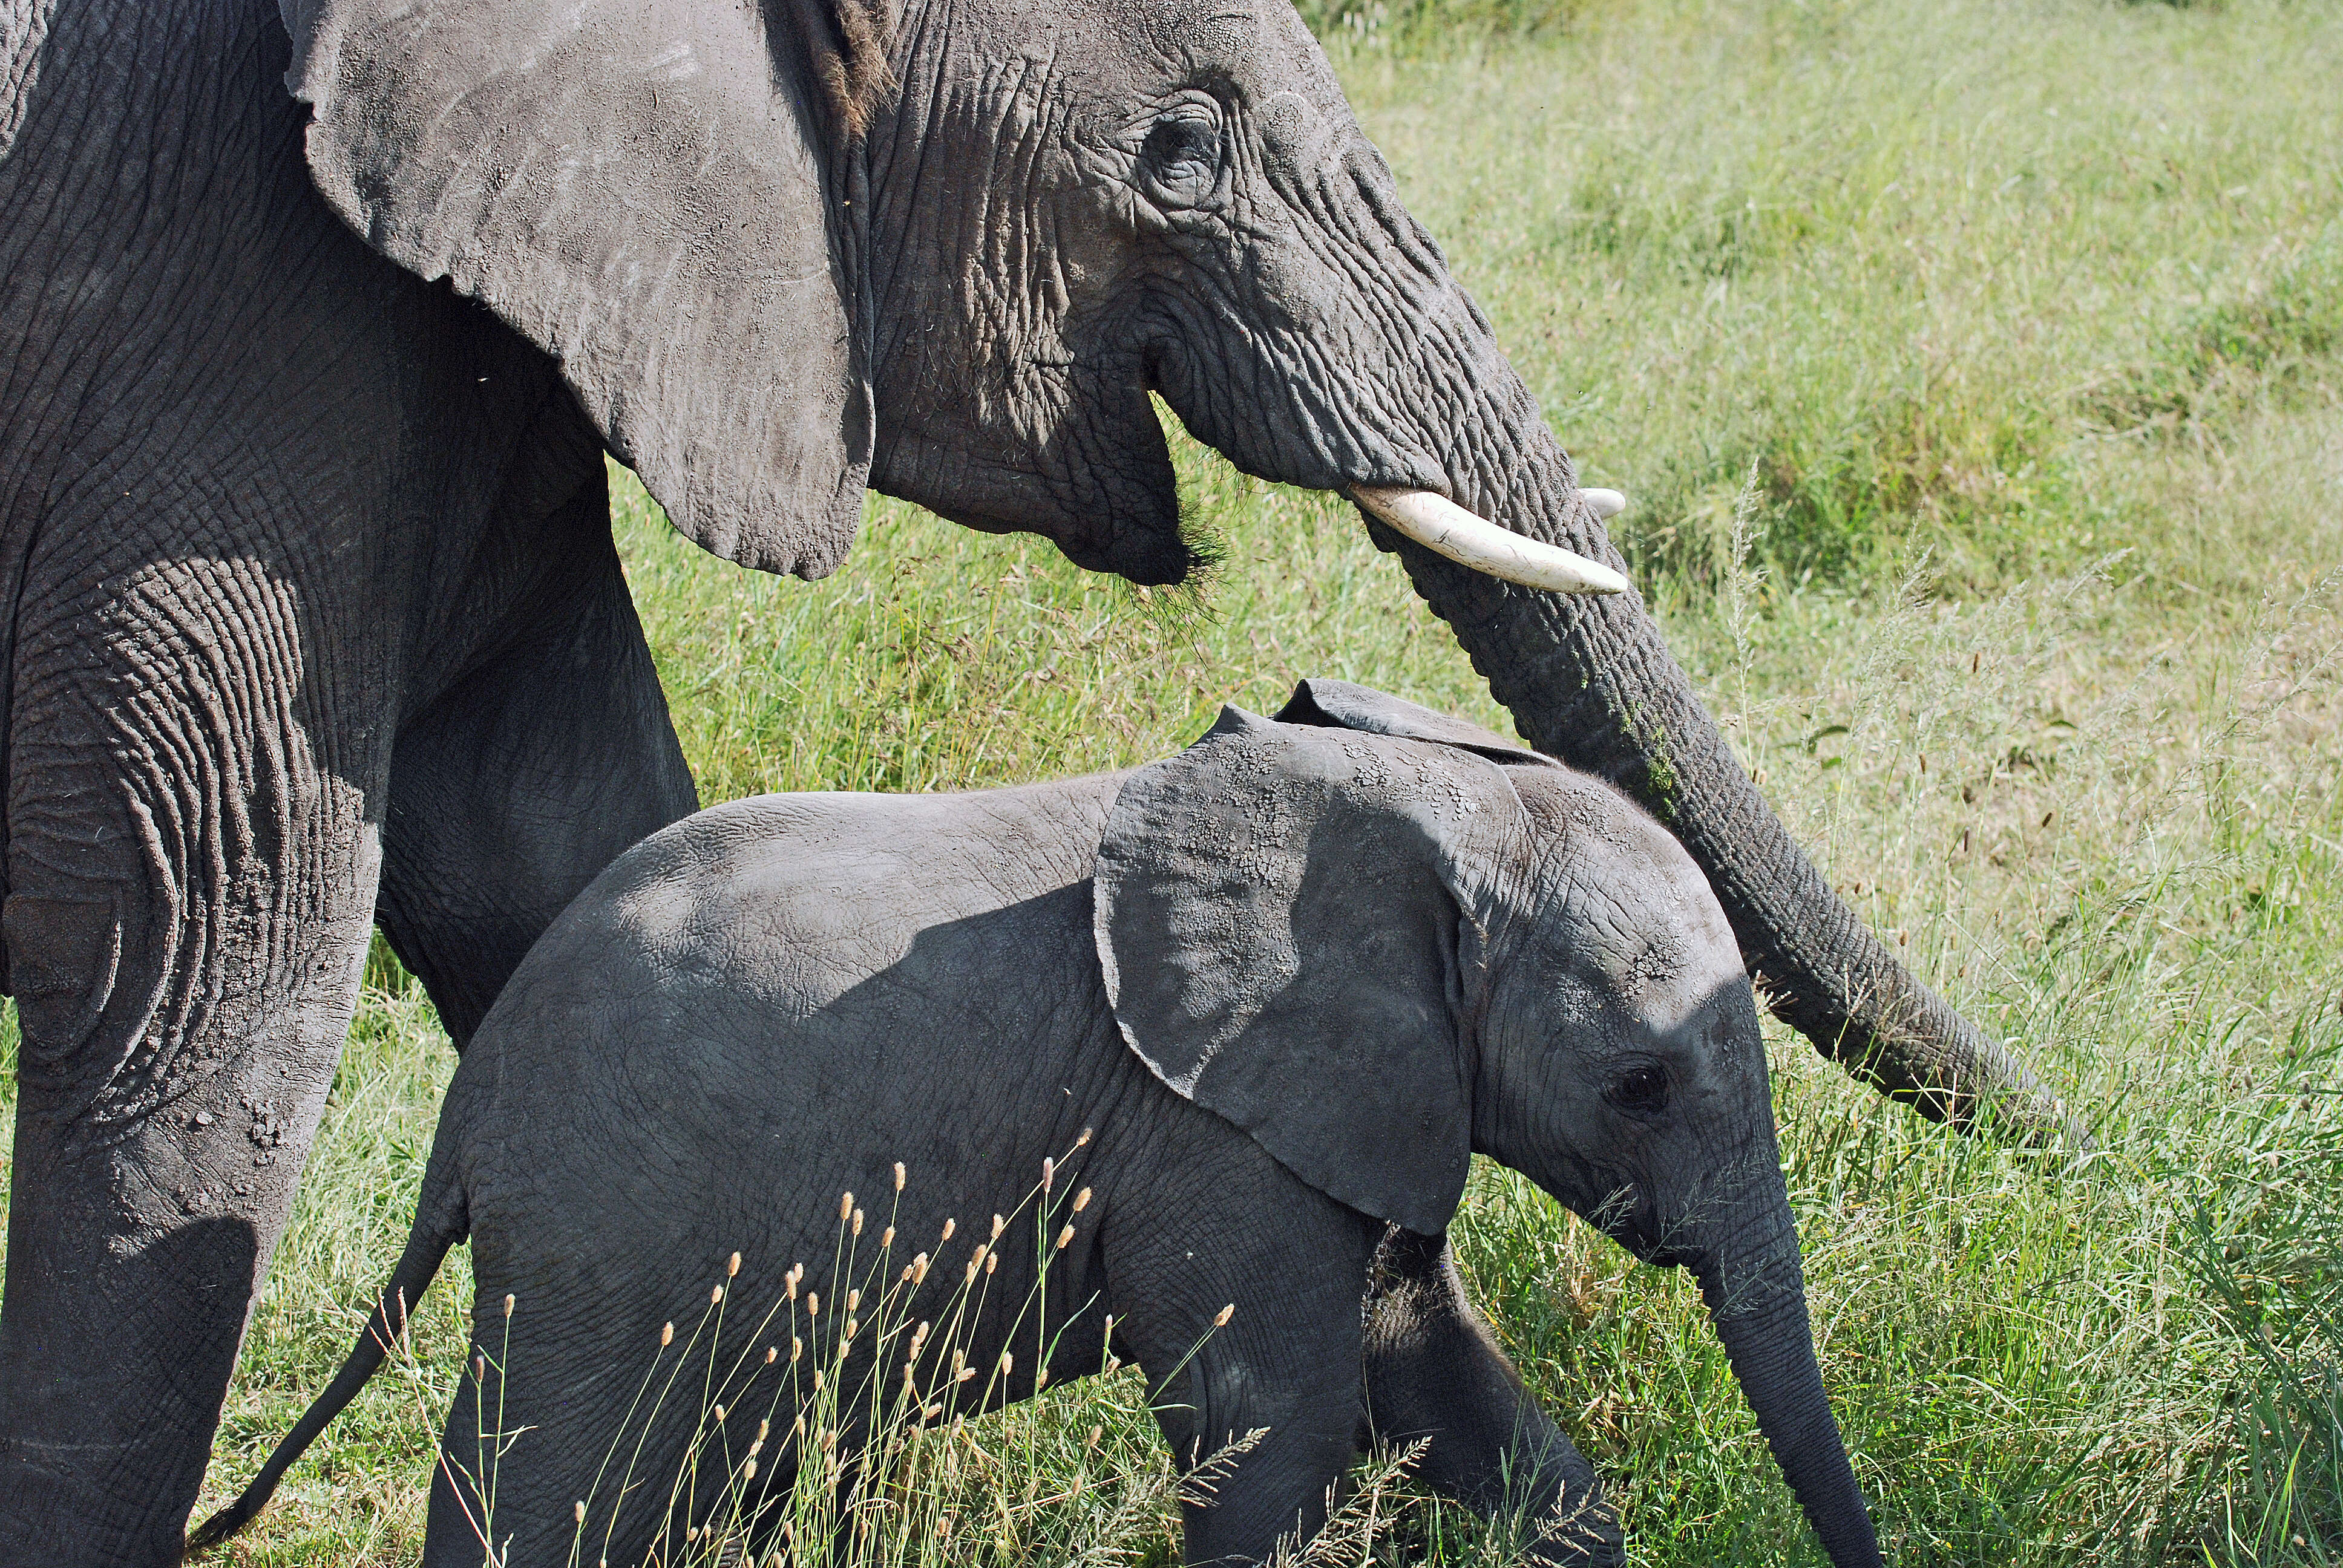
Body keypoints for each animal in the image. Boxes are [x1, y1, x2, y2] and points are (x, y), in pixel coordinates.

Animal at [201, 679, 1884, 1566]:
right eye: (1641, 1085)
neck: (1408, 794)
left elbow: (1436, 1375)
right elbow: (1277, 1422)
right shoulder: (1209, 1136)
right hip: (605, 1237)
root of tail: (468, 1105)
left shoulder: (1356, 1106)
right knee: (553, 1481)